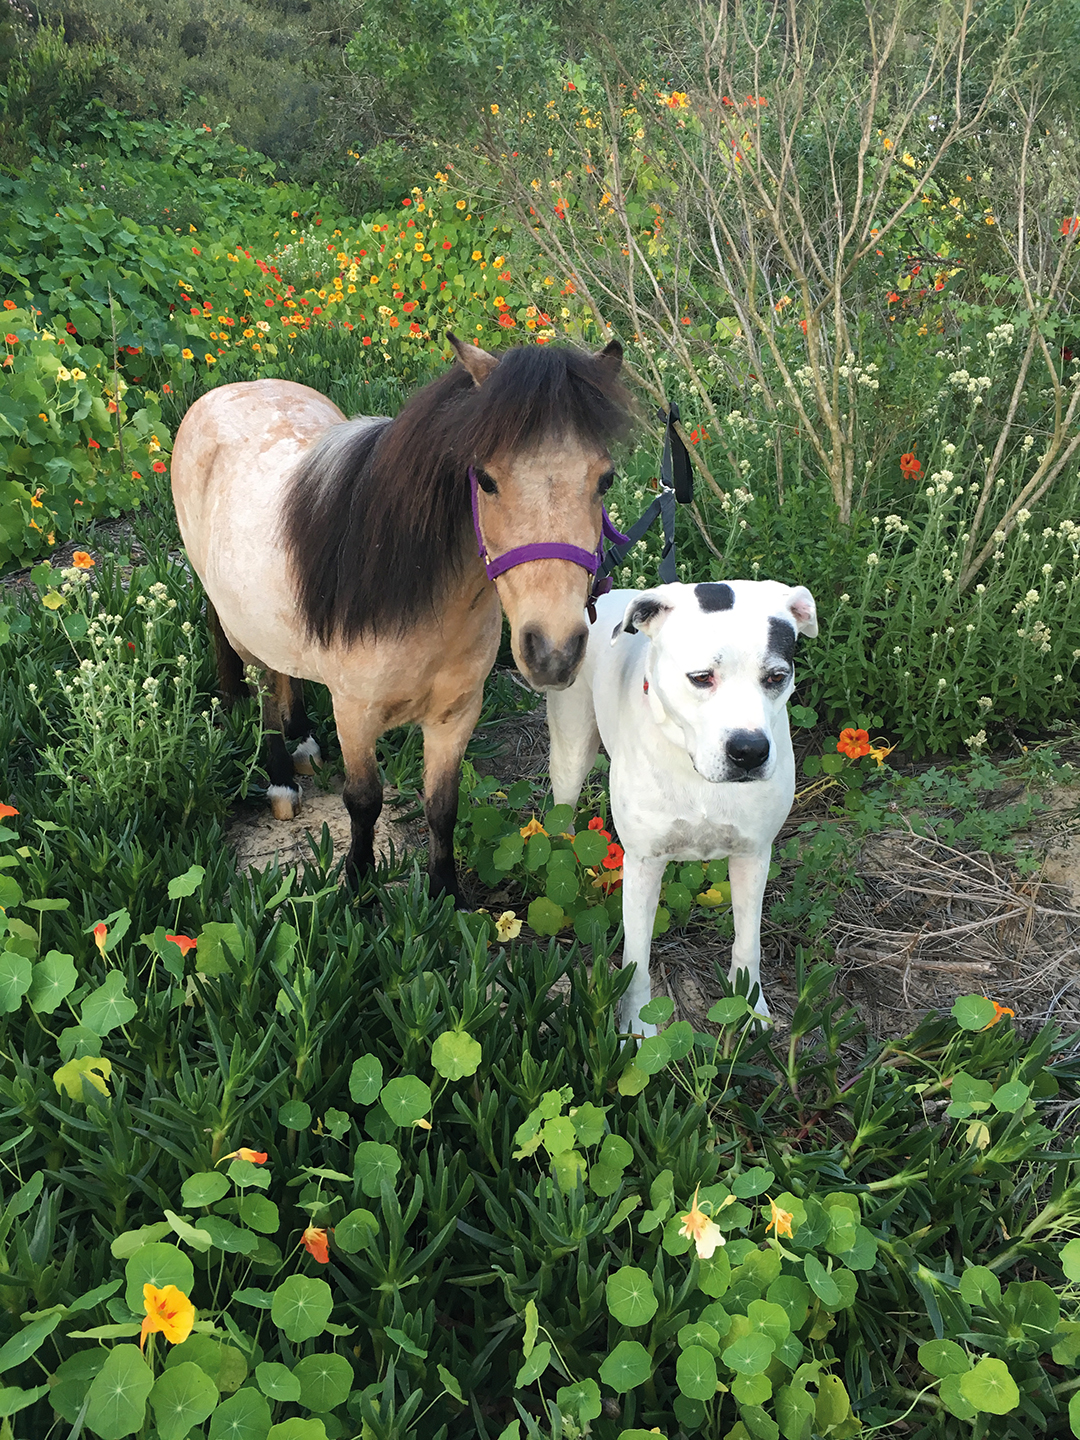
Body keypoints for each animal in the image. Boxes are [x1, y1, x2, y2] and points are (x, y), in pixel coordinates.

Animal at [171, 336, 633, 898]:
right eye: (485, 479)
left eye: (605, 479)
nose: (553, 652)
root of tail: (224, 392)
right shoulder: (355, 715)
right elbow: (364, 801)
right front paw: (358, 886)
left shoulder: (457, 715)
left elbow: (442, 806)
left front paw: (445, 895)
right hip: (243, 638)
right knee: (265, 696)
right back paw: (282, 781)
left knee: (288, 678)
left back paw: (304, 740)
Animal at [550, 578, 817, 1042]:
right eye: (701, 678)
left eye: (777, 677)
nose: (749, 751)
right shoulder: (642, 863)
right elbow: (635, 959)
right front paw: (637, 1026)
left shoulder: (753, 856)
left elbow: (748, 943)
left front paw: (751, 1008)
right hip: (570, 752)